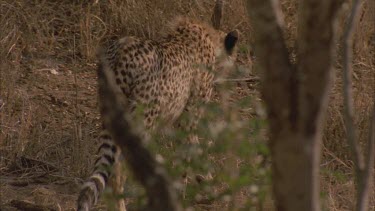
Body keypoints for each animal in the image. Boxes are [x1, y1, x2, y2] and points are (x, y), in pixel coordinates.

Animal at [78, 15, 239, 210]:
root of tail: (120, 50)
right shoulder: (189, 118)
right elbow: (190, 152)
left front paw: (204, 182)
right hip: (143, 120)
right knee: (122, 165)